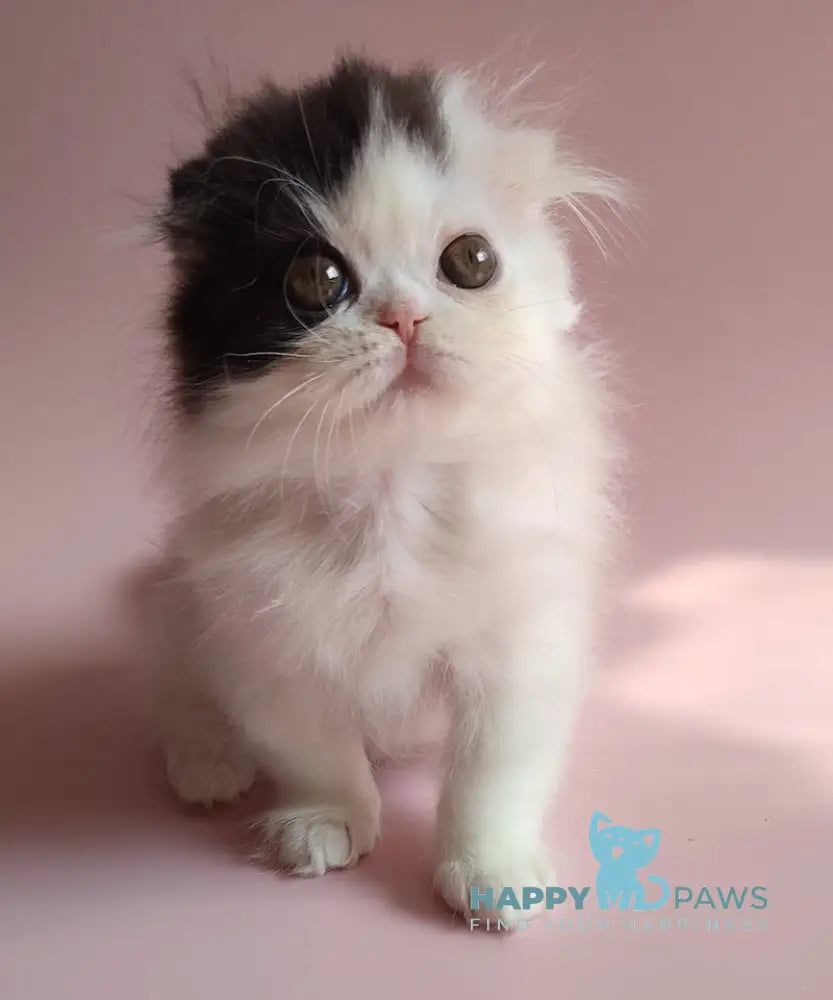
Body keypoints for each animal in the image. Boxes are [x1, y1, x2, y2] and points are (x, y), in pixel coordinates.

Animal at [153, 54, 620, 920]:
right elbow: (311, 748)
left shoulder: (519, 645)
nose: (403, 317)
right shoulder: (265, 636)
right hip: (177, 607)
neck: (390, 488)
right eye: (317, 277)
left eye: (470, 262)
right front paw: (326, 824)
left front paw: (492, 873)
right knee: (177, 690)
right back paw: (209, 766)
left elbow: (492, 772)